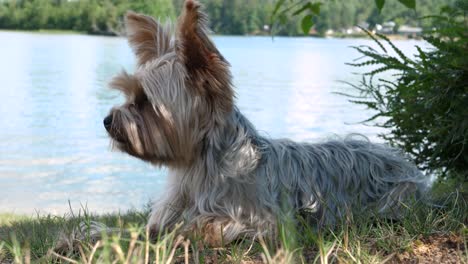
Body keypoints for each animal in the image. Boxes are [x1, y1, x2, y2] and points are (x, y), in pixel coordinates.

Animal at [103, 1, 428, 246]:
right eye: (129, 94)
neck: (198, 164)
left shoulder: (260, 218)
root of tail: (406, 165)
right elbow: (148, 227)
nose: (106, 121)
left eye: (145, 100)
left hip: (395, 196)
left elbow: (208, 225)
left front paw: (187, 231)